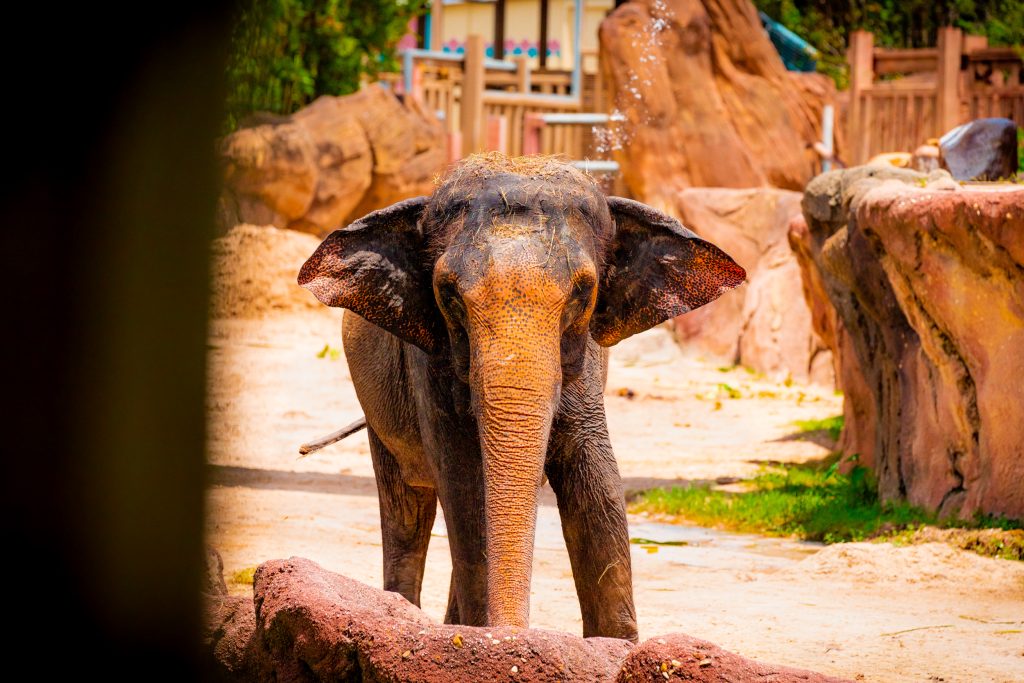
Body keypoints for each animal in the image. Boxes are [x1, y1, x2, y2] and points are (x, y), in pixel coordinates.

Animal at [299, 154, 745, 643]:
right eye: (448, 294)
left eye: (583, 293)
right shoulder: (429, 364)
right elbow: (464, 482)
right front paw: (483, 640)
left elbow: (596, 481)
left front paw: (613, 645)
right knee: (407, 511)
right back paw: (403, 610)